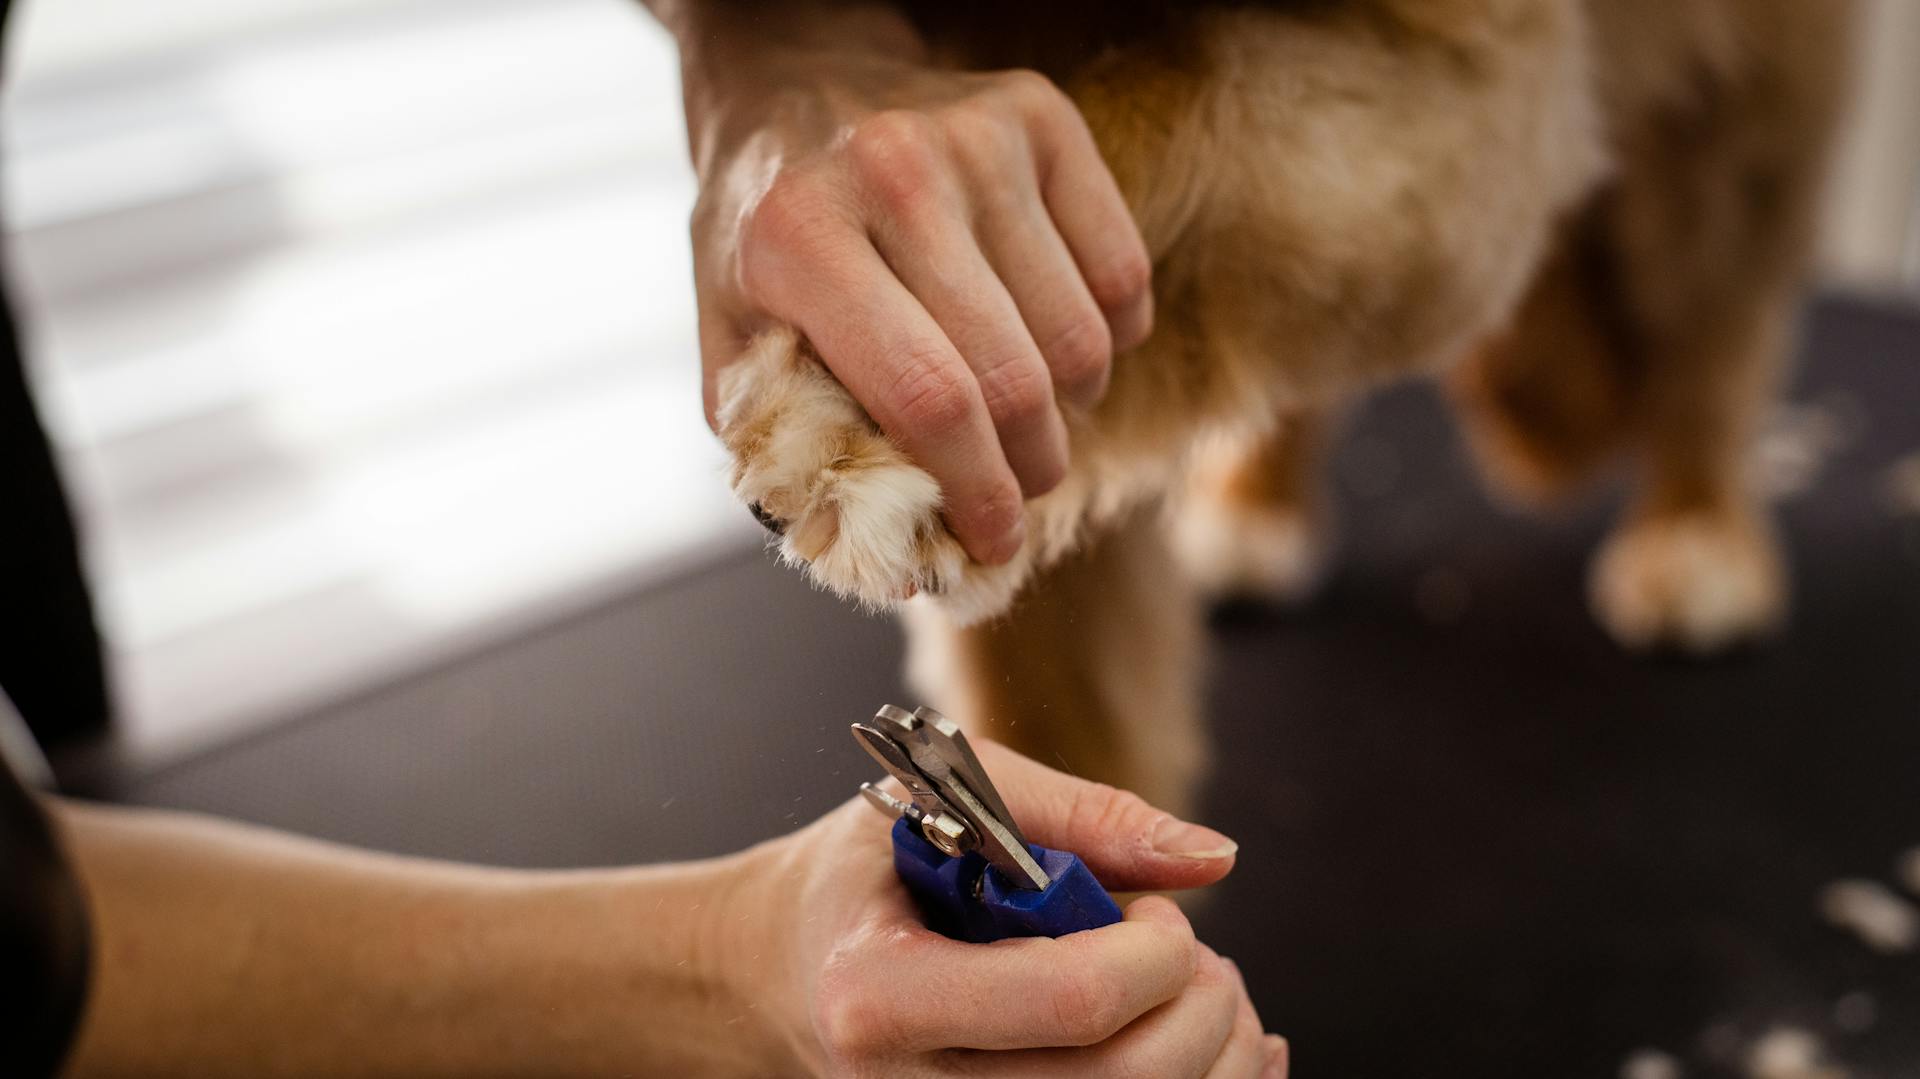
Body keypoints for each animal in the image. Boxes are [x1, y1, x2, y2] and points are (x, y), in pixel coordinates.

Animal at [714, 0, 1850, 806]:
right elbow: (1047, 683)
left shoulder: (1468, 79)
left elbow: (1138, 133)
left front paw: (854, 424)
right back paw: (1255, 506)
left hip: (1751, 96)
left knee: (1715, 320)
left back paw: (1695, 527)